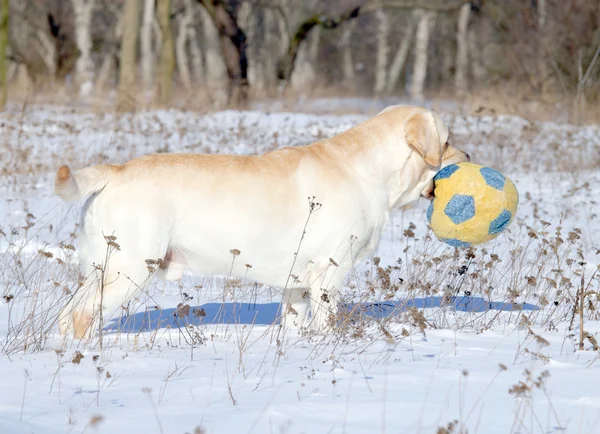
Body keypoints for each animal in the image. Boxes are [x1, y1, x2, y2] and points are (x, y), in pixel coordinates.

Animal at [55, 106, 468, 340]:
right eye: (447, 141)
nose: (467, 155)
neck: (372, 170)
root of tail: (115, 170)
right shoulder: (329, 270)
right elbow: (325, 320)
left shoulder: (297, 283)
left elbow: (295, 322)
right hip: (130, 268)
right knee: (82, 313)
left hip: (101, 269)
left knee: (67, 313)